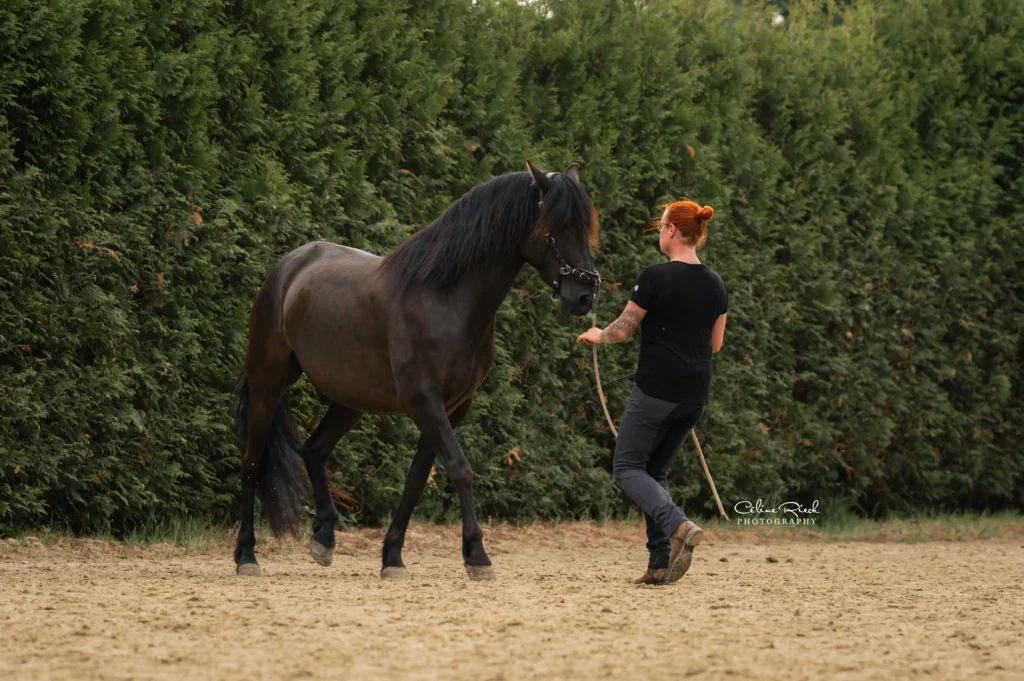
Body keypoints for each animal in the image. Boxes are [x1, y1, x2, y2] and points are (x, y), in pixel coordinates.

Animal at [233, 161, 601, 578]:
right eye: (558, 226)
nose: (585, 296)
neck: (445, 298)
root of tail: (287, 269)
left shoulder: (453, 407)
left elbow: (416, 479)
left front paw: (392, 557)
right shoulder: (424, 401)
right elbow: (459, 468)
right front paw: (477, 556)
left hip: (351, 399)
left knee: (313, 449)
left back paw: (324, 537)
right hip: (267, 383)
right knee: (251, 460)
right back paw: (246, 555)